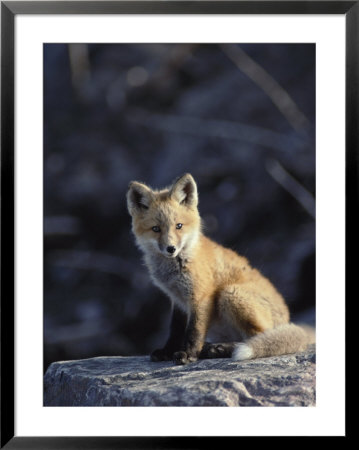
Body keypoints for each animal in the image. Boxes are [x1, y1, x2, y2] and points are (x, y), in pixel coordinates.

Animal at [126, 173, 316, 366]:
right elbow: (175, 330)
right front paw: (168, 351)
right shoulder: (177, 300)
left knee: (255, 337)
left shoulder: (201, 296)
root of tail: (287, 318)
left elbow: (194, 331)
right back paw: (212, 348)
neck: (178, 265)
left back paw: (218, 349)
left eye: (178, 226)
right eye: (156, 229)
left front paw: (188, 354)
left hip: (230, 294)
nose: (171, 249)